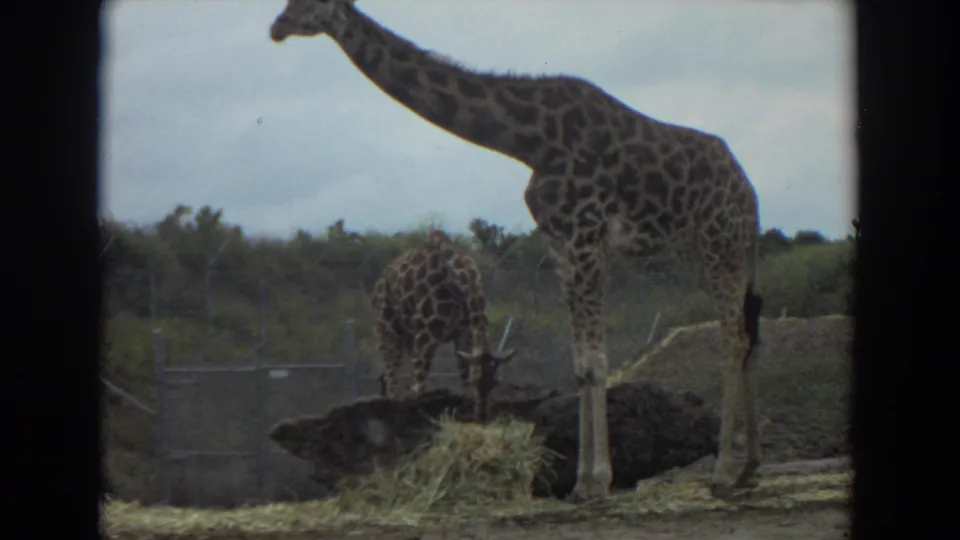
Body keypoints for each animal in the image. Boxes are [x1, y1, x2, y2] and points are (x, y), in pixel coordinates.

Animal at [371, 229, 517, 422]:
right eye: (476, 380)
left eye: (495, 382)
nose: (482, 414)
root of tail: (380, 280)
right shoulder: (426, 336)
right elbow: (419, 384)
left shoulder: (463, 335)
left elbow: (462, 375)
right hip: (387, 326)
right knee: (390, 368)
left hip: (408, 334)